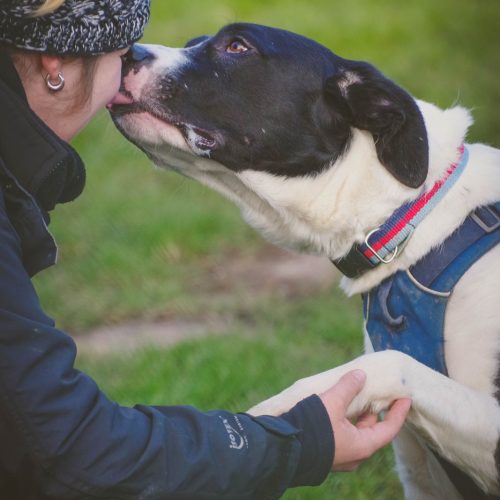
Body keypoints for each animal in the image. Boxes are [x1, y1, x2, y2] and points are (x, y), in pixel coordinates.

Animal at [109, 24, 500, 500]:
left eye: (237, 46)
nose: (124, 54)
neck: (408, 216)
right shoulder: (425, 475)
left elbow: (389, 362)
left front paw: (277, 409)